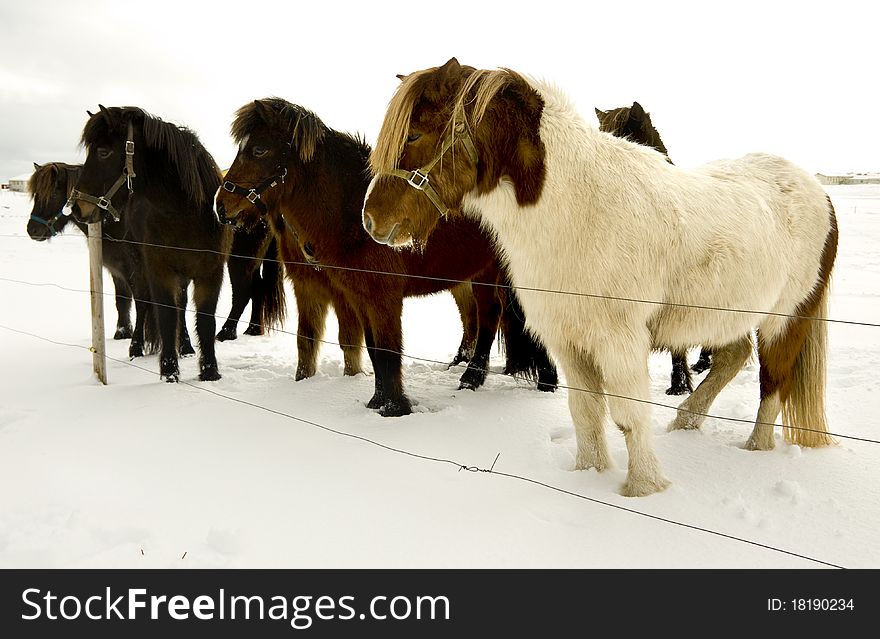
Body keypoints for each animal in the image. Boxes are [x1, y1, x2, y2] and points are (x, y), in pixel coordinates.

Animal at [70, 107, 230, 382]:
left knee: (180, 306)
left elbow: (205, 319)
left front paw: (210, 371)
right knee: (144, 303)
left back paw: (185, 346)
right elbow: (165, 314)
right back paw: (136, 348)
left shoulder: (211, 272)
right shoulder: (159, 269)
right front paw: (169, 372)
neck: (185, 215)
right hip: (140, 265)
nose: (79, 207)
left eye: (104, 152)